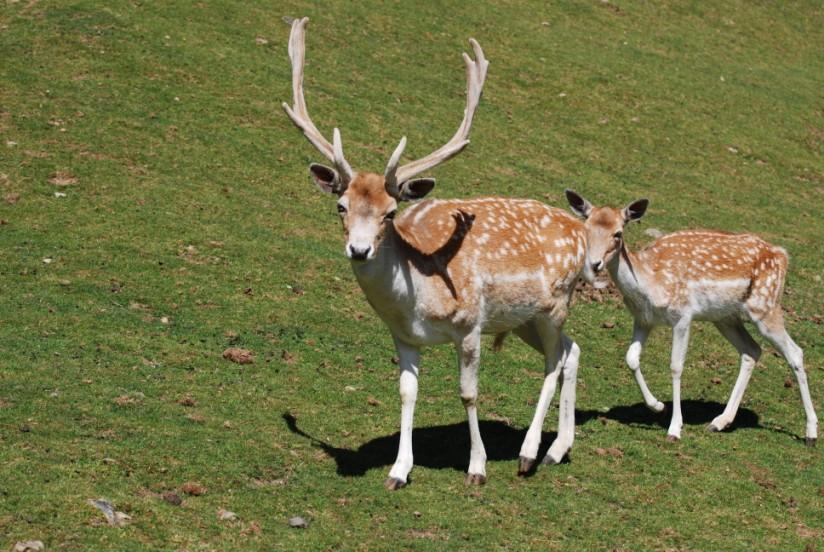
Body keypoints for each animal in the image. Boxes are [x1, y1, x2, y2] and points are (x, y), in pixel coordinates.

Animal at [284, 16, 592, 488]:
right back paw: (558, 449)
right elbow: (407, 392)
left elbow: (468, 393)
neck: (417, 298)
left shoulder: (469, 325)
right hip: (525, 318)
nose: (359, 249)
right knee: (571, 351)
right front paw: (398, 470)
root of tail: (581, 230)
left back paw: (527, 453)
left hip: (556, 304)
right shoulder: (403, 336)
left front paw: (477, 467)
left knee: (554, 363)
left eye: (391, 212)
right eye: (341, 206)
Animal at [568, 190, 816, 444]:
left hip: (766, 306)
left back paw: (811, 433)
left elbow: (676, 366)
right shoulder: (643, 319)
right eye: (586, 227)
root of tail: (782, 256)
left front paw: (674, 428)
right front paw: (658, 406)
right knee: (751, 350)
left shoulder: (683, 315)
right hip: (725, 318)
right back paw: (719, 422)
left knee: (795, 352)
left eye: (618, 233)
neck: (650, 283)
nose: (594, 264)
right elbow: (631, 358)